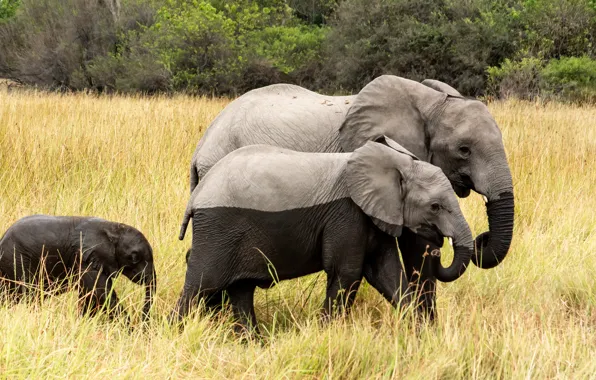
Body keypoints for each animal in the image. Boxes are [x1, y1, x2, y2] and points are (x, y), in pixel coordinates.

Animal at [0, 215, 156, 320]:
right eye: (134, 257)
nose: (143, 325)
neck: (113, 229)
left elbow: (89, 296)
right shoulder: (85, 258)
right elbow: (101, 294)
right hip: (16, 260)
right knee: (30, 294)